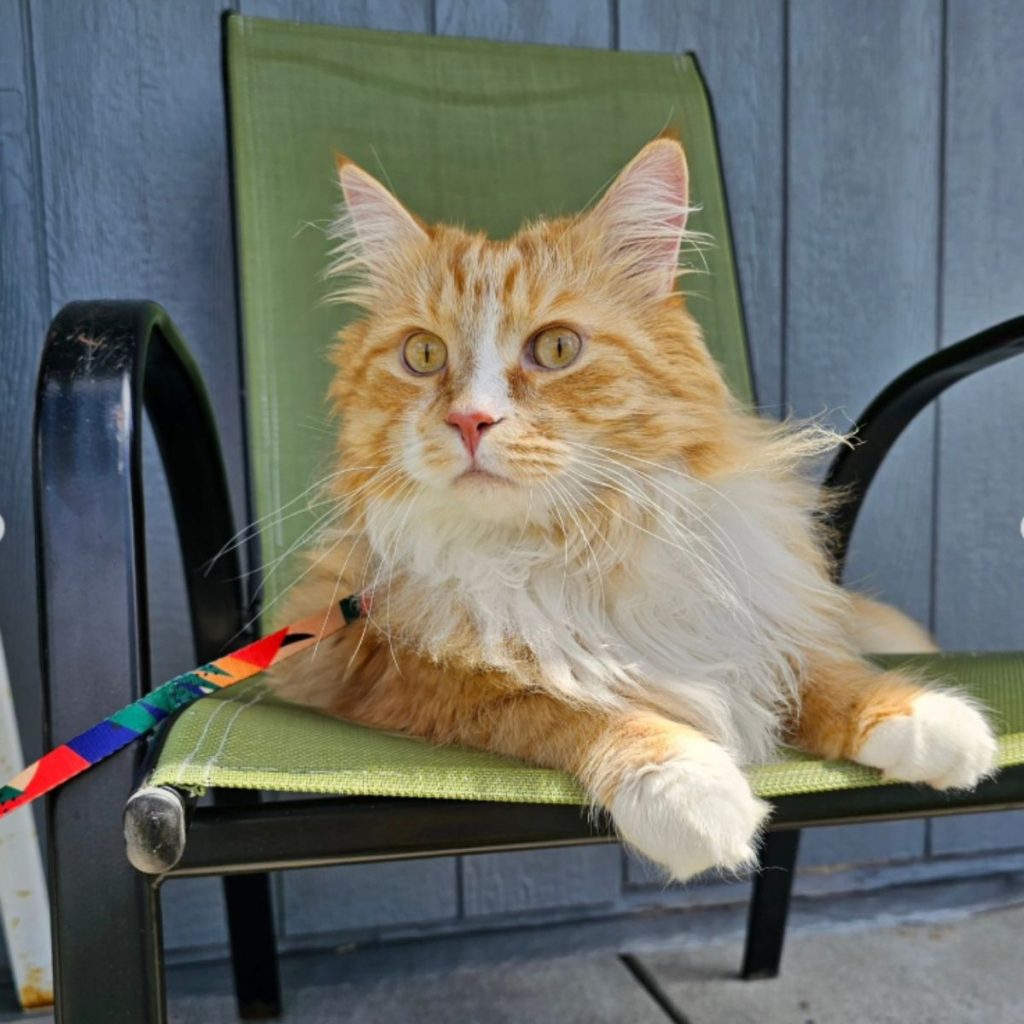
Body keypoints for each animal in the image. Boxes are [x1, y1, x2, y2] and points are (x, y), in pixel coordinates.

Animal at [268, 140, 995, 880]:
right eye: (423, 354)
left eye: (557, 348)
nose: (471, 420)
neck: (575, 544)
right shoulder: (392, 670)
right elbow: (573, 705)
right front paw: (687, 788)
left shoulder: (740, 614)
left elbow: (821, 669)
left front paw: (925, 718)